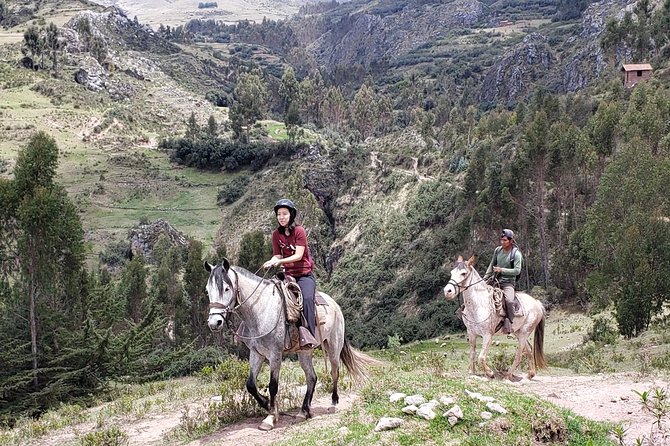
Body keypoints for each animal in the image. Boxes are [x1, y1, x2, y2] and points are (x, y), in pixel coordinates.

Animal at [207, 260, 380, 430]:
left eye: (227, 288)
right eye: (208, 291)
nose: (214, 323)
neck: (260, 310)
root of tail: (335, 304)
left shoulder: (275, 354)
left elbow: (273, 385)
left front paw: (270, 417)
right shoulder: (256, 353)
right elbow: (250, 385)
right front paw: (267, 405)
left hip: (333, 347)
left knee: (334, 372)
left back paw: (333, 404)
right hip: (305, 351)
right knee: (312, 377)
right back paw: (304, 411)